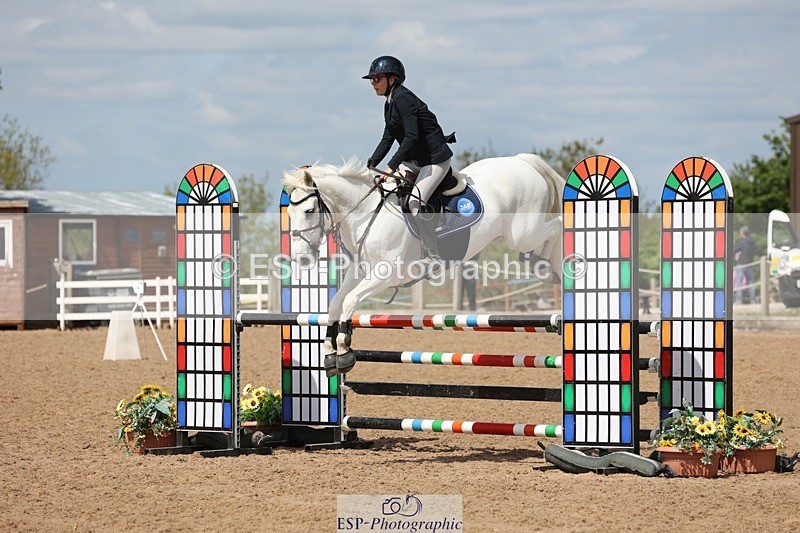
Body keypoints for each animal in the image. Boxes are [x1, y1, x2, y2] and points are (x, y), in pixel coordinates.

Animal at [282, 154, 565, 377]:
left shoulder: (386, 273)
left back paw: (548, 267)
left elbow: (350, 300)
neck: (366, 213)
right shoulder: (360, 271)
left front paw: (343, 350)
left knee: (557, 225)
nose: (301, 258)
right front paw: (331, 353)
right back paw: (542, 267)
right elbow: (335, 303)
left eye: (309, 210)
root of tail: (522, 161)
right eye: (289, 213)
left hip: (523, 232)